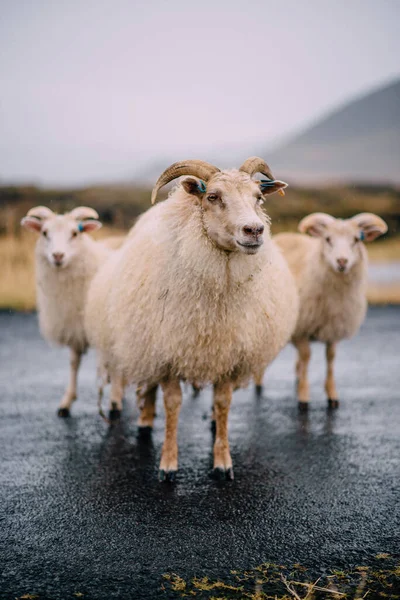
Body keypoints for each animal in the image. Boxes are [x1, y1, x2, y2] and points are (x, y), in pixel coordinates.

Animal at [21, 206, 115, 418]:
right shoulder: (74, 328)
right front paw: (66, 402)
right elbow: (74, 364)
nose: (57, 256)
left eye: (75, 233)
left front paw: (115, 401)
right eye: (44, 233)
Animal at [86, 157, 300, 480]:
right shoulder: (168, 354)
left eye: (258, 198)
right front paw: (168, 463)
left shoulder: (229, 355)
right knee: (148, 386)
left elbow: (223, 403)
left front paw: (222, 461)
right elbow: (172, 405)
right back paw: (145, 421)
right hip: (144, 341)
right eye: (212, 196)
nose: (254, 230)